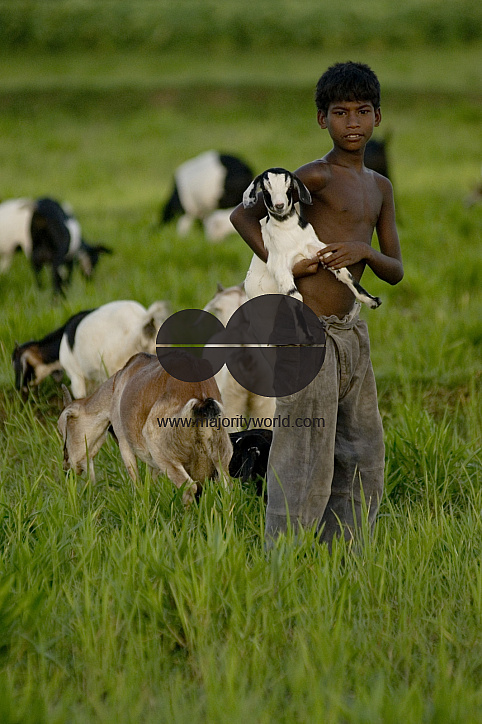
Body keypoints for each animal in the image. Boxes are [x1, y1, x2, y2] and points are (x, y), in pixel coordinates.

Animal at [58, 352, 233, 504]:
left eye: (64, 429)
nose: (66, 466)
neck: (118, 384)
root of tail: (200, 397)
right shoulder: (152, 463)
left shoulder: (124, 442)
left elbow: (136, 481)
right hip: (221, 455)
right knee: (225, 485)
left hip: (161, 450)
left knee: (189, 488)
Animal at [242, 168, 381, 309]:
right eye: (265, 190)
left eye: (289, 187)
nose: (279, 205)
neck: (288, 228)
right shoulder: (280, 266)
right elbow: (295, 295)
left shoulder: (319, 248)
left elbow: (345, 274)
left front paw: (372, 301)